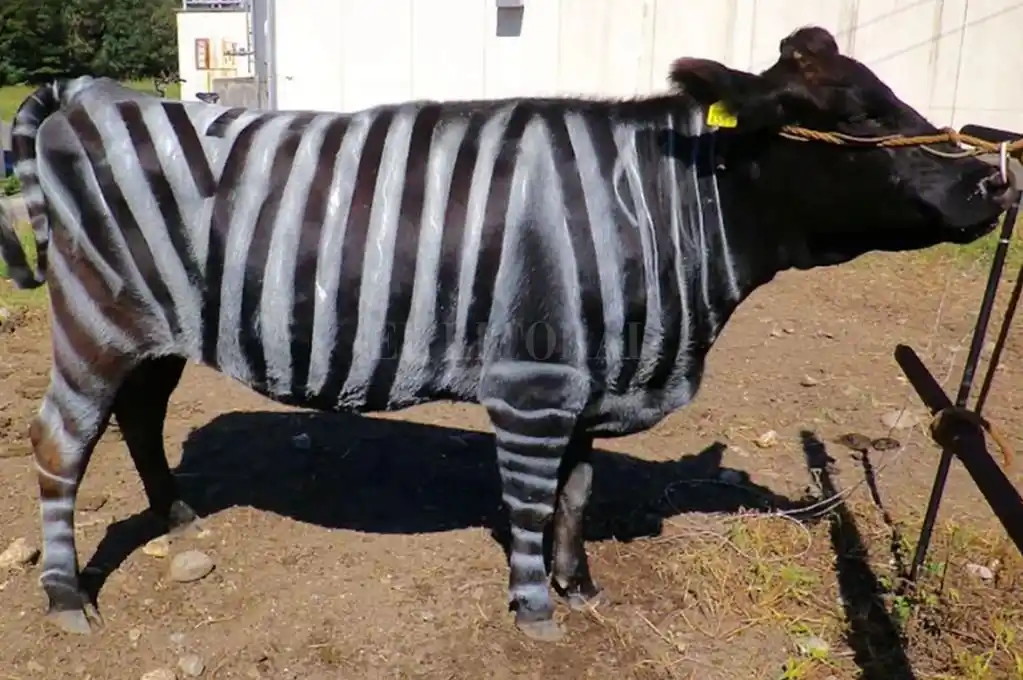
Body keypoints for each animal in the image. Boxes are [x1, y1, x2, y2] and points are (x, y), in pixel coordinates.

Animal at [0, 26, 1014, 642]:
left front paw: (581, 587)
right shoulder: (532, 384)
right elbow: (530, 501)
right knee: (59, 445)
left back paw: (178, 518)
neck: (657, 213)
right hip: (94, 322)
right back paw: (66, 600)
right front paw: (535, 615)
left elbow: (575, 495)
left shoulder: (590, 380)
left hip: (158, 330)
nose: (994, 181)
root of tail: (93, 92)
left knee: (138, 418)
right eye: (853, 120)